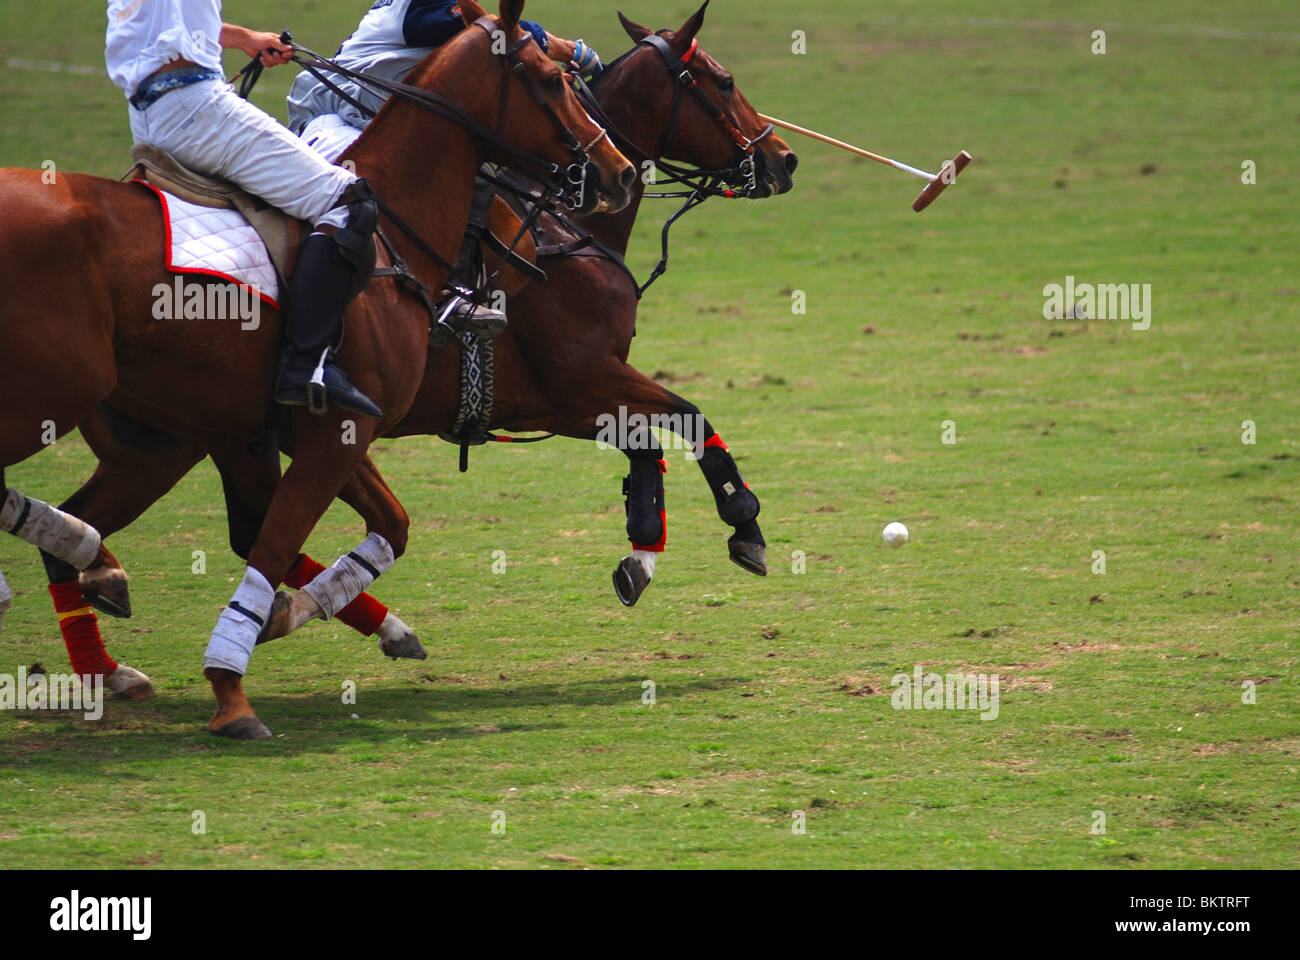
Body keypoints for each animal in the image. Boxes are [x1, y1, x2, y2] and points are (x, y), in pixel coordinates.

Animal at [30, 3, 795, 686]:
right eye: (723, 79)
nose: (783, 158)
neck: (564, 229)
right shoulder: (581, 378)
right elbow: (689, 417)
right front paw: (745, 529)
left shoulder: (550, 403)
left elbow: (647, 443)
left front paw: (641, 553)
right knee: (248, 531)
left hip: (168, 443)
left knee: (152, 529)